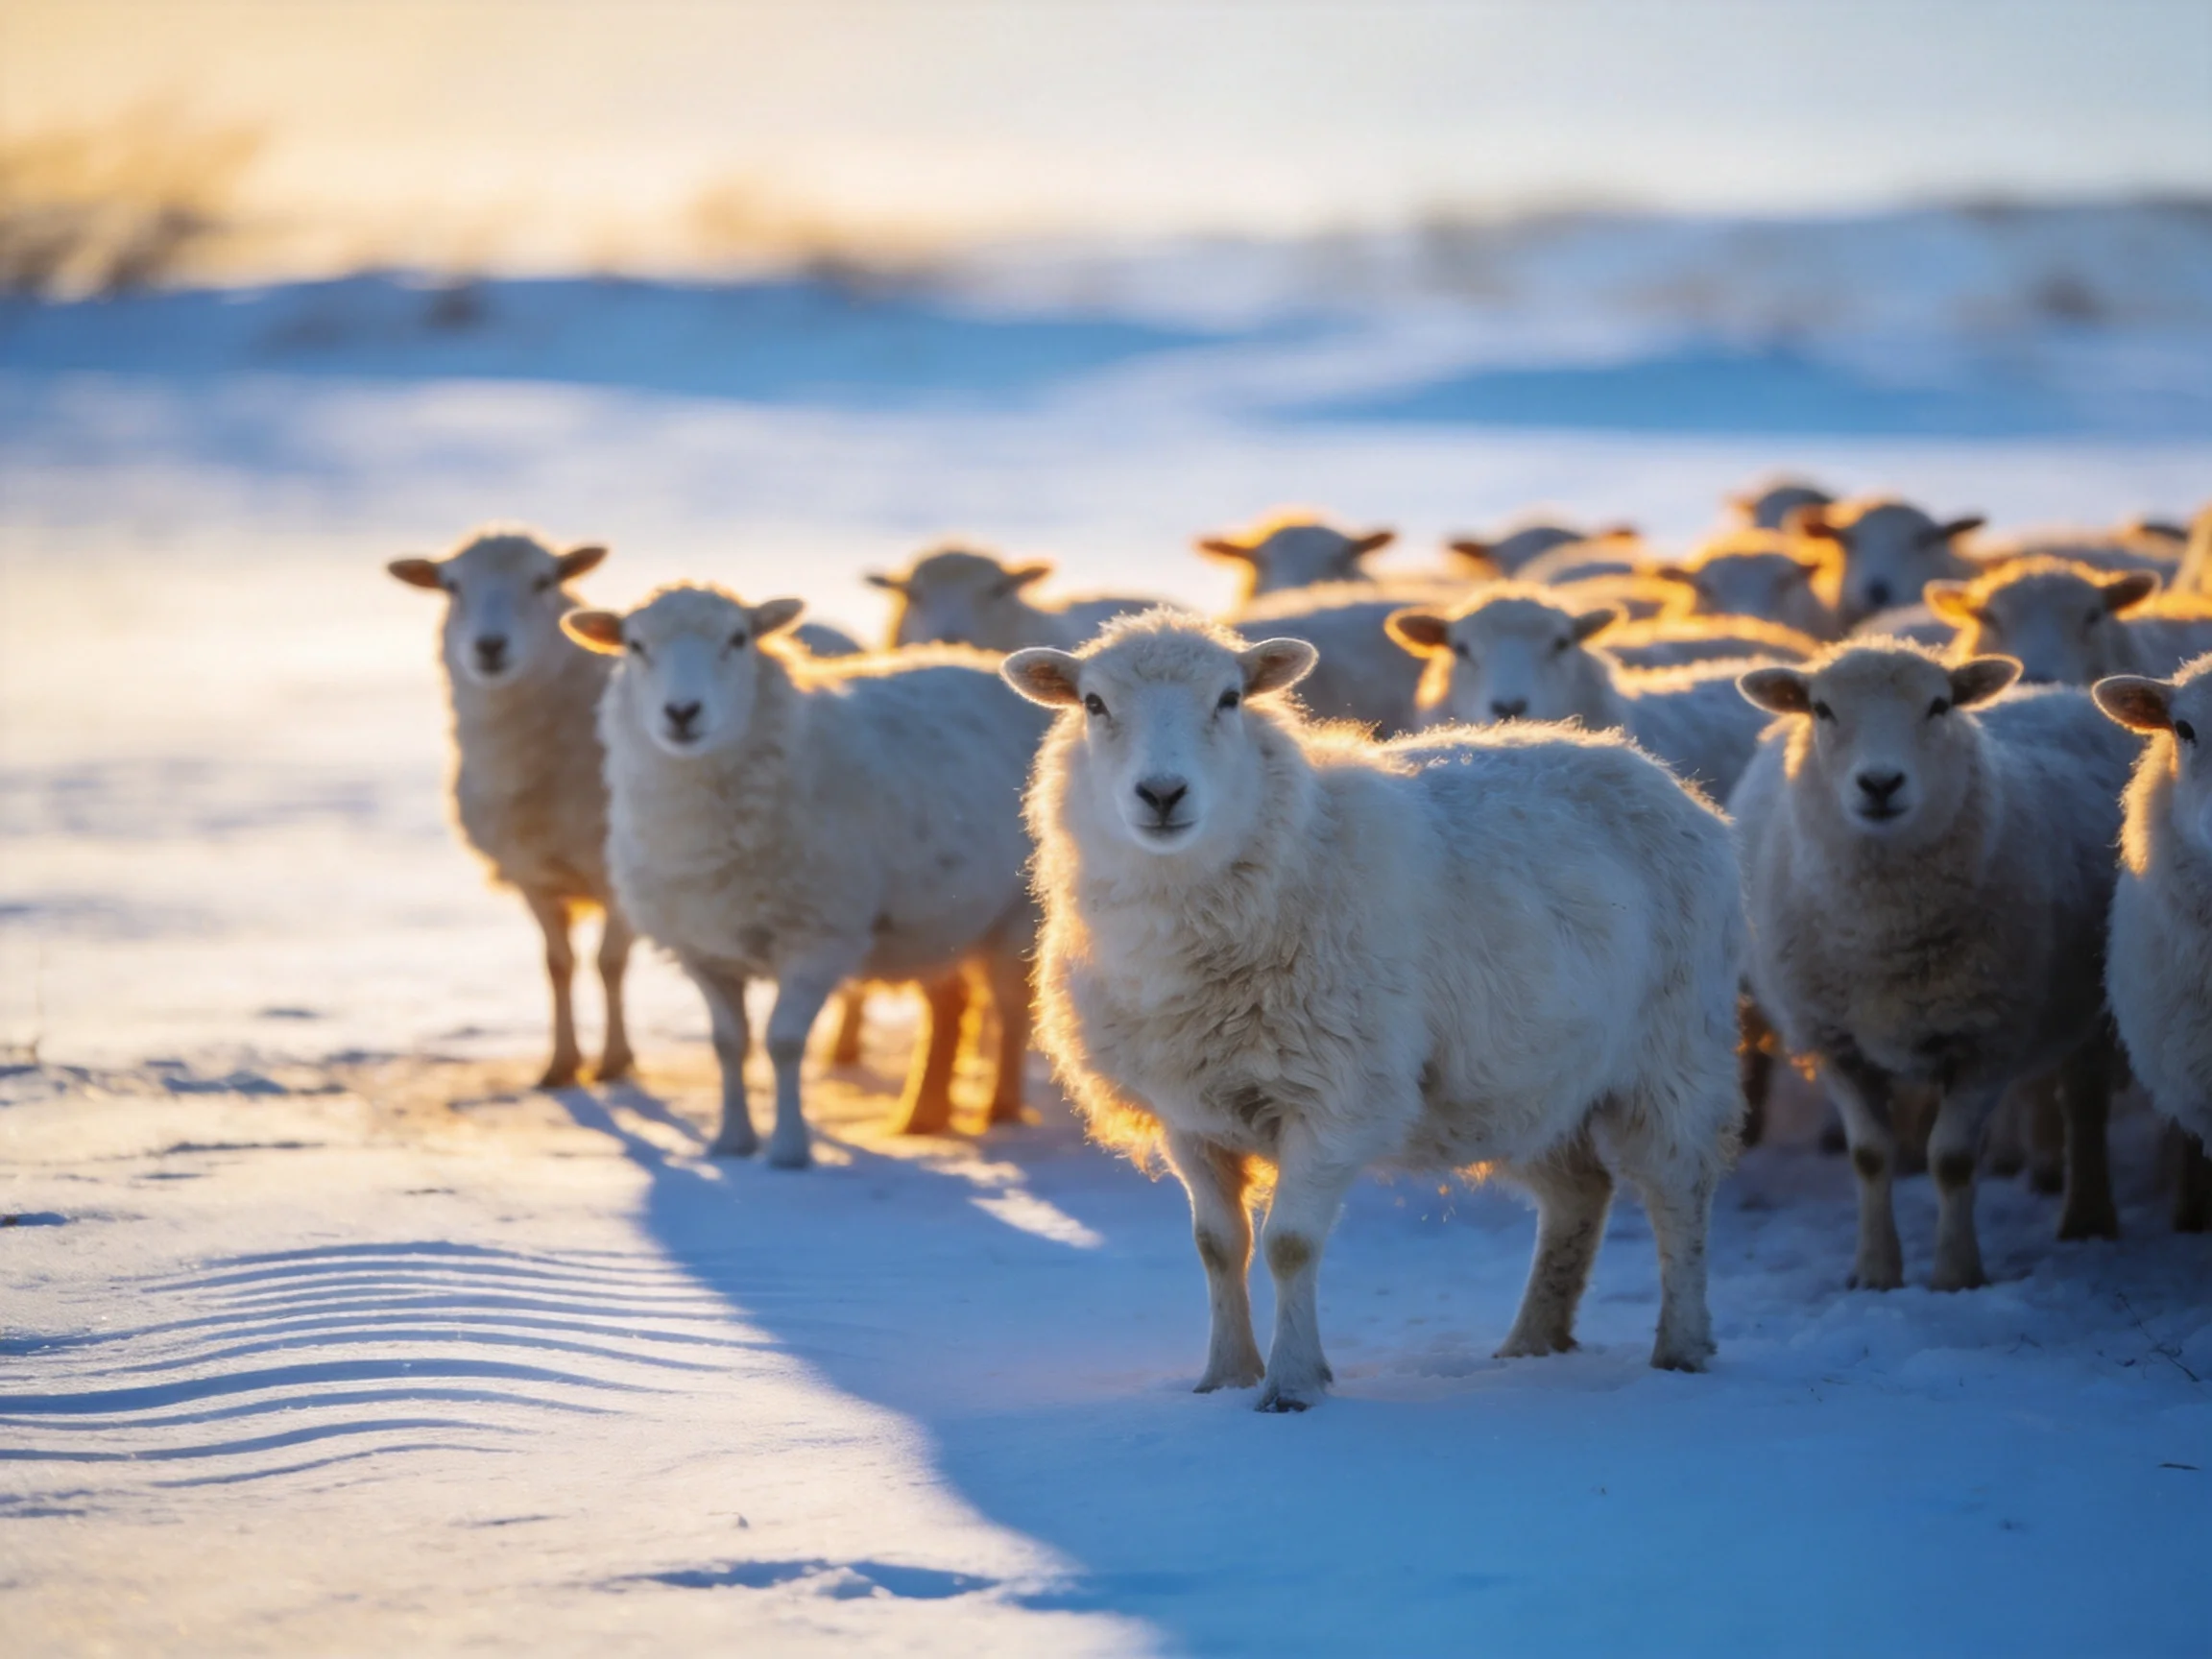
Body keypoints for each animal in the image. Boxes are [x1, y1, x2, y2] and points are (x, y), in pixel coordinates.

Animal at [389, 526, 635, 1090]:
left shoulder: (619, 875)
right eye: (451, 585)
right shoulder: (531, 874)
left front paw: (615, 1060)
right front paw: (561, 1064)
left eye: (543, 580)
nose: (489, 646)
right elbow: (558, 965)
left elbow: (610, 963)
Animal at [563, 585, 1049, 1168]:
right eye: (635, 645)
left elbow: (784, 1043)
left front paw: (789, 1150)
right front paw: (731, 1142)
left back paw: (1000, 1107)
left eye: (738, 639)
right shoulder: (701, 949)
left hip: (1018, 913)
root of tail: (981, 662)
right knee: (949, 1006)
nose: (682, 713)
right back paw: (923, 1116)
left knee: (1013, 1008)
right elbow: (728, 1044)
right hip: (945, 920)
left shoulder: (820, 937)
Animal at [1002, 612, 1744, 1410]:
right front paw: (1224, 1376)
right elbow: (1218, 1247)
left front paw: (1292, 1386)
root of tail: (1644, 766)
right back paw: (1531, 1343)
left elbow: (1289, 1245)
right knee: (1580, 1193)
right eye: (1094, 704)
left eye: (1230, 699)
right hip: (1530, 1080)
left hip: (1673, 1051)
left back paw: (1682, 1346)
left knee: (1678, 1192)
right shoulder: (1189, 1115)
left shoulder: (1336, 1097)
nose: (1162, 793)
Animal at [1730, 641, 2137, 1289]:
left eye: (1939, 705)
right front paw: (1875, 1272)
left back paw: (2087, 1217)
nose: (1880, 783)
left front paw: (1955, 1275)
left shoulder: (1988, 1038)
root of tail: (2058, 691)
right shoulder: (1834, 1041)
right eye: (1821, 709)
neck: (1884, 930)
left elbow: (1952, 1160)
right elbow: (1871, 1157)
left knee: (2084, 1102)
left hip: (2096, 1002)